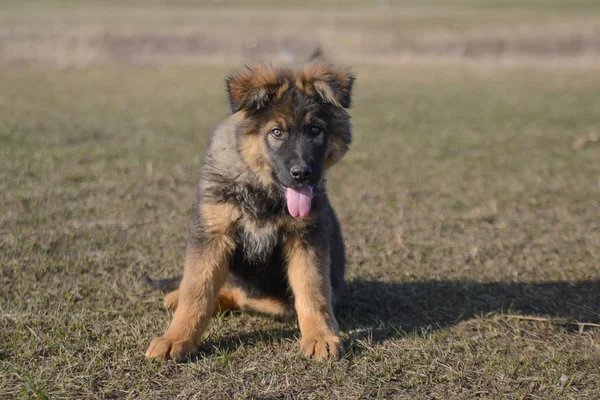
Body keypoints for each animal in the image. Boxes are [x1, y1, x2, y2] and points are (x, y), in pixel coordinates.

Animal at [145, 60, 352, 362]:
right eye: (276, 132)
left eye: (315, 130)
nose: (302, 174)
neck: (261, 190)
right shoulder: (213, 234)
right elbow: (197, 291)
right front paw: (176, 338)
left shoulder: (307, 237)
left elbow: (313, 290)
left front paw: (320, 337)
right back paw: (177, 296)